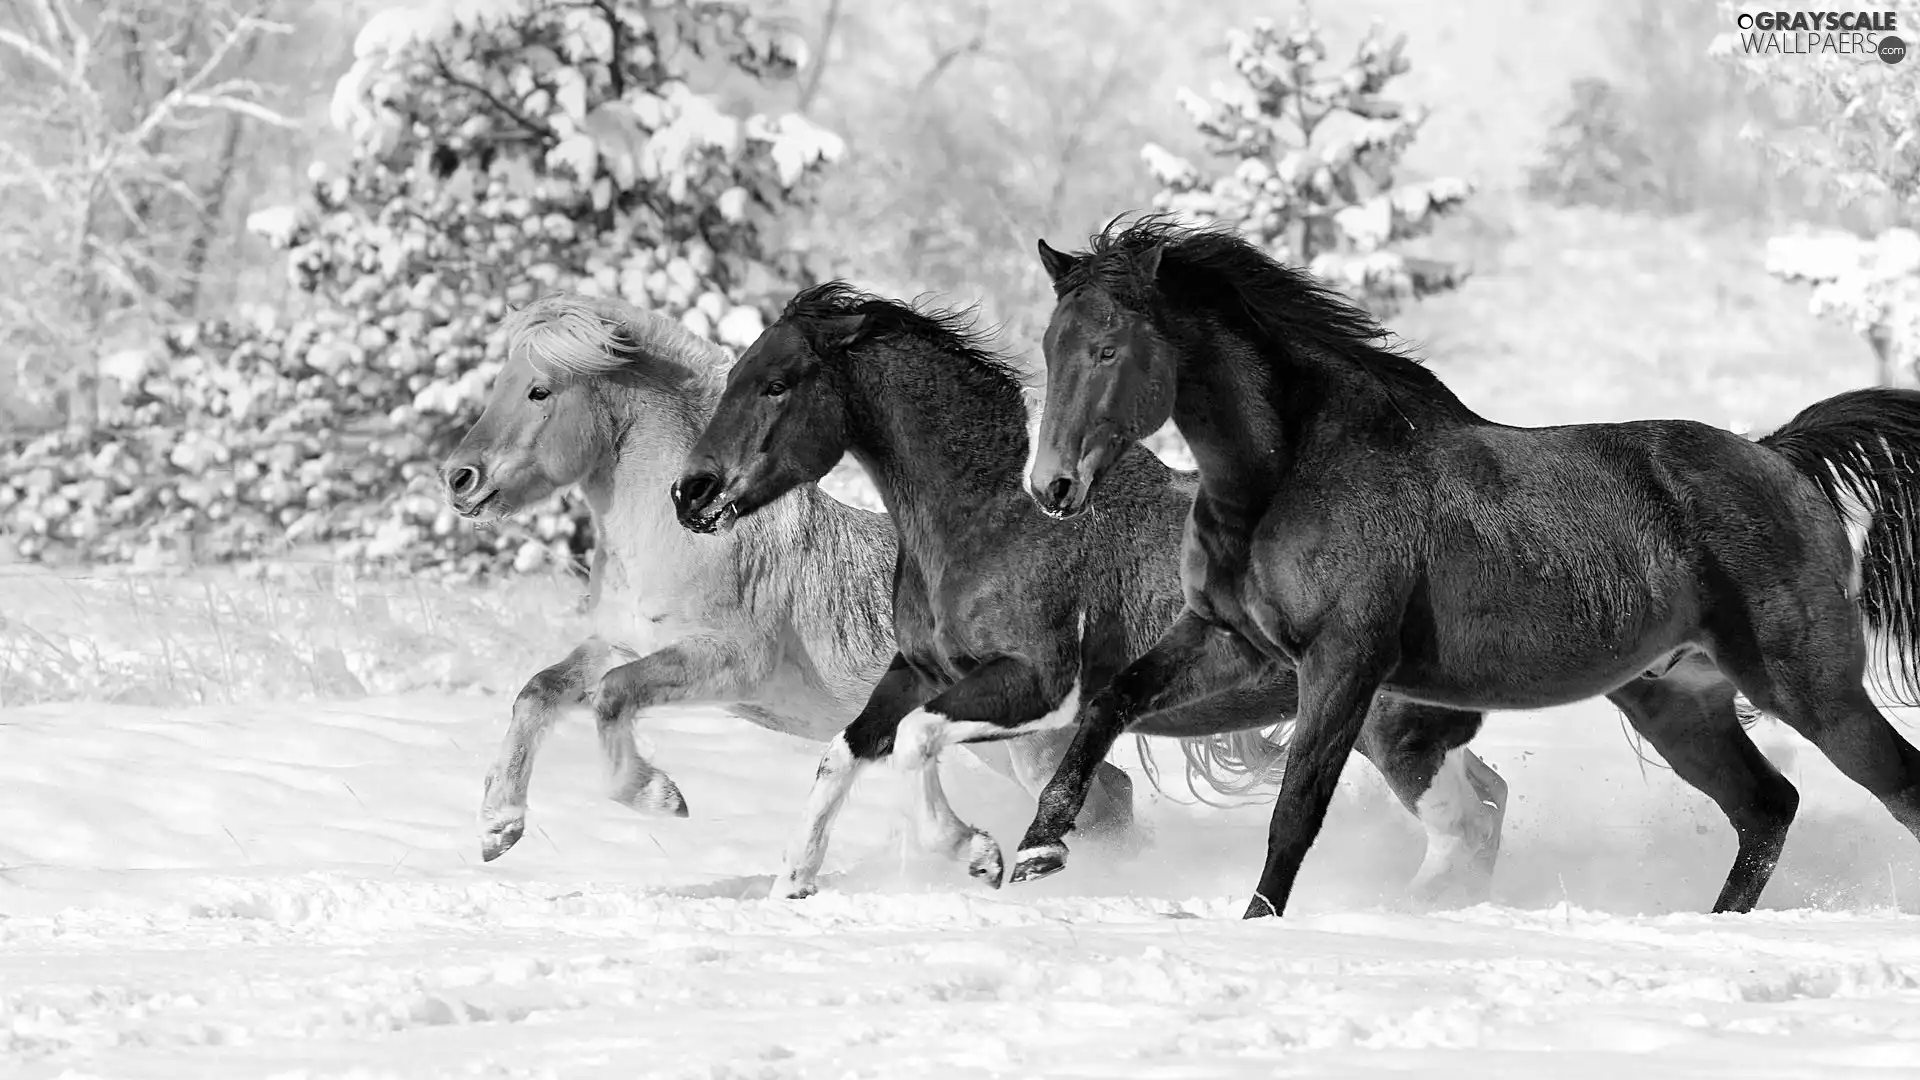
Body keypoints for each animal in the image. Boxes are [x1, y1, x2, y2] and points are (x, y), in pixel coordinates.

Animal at [668, 278, 1505, 899]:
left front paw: (977, 853)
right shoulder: (918, 671)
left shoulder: (1037, 685)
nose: (690, 493)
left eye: (777, 384)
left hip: (1390, 730)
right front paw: (793, 880)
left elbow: (915, 743)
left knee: (1465, 825)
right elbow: (844, 753)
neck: (987, 516)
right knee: (1485, 805)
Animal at [1021, 216, 1920, 914]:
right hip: (1678, 701)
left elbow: (1296, 811)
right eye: (1051, 344)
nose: (1051, 486)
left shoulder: (1343, 663)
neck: (1292, 472)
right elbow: (1110, 703)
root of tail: (1780, 458)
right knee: (1768, 808)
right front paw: (1037, 849)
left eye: (1108, 348)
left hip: (1808, 686)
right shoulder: (1230, 638)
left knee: (1892, 786)